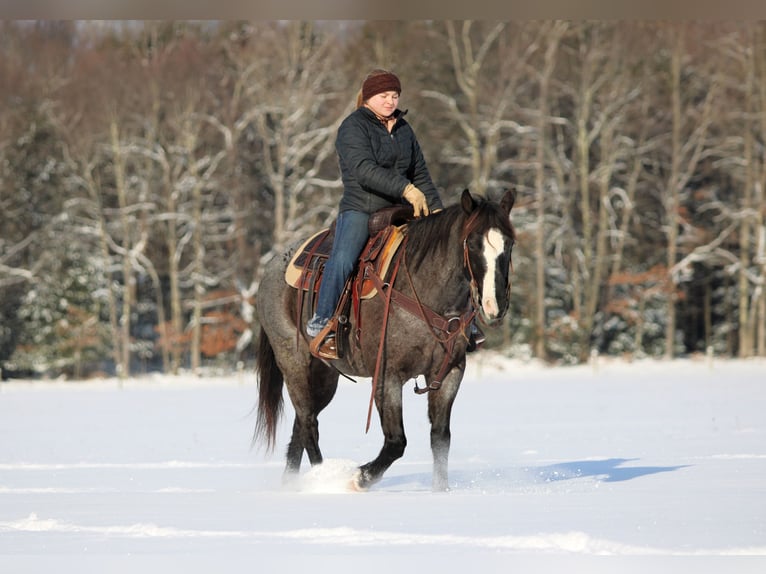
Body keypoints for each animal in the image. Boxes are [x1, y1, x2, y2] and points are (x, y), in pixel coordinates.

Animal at [253, 188, 517, 491]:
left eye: (509, 243)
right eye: (472, 244)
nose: (494, 305)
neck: (424, 292)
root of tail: (272, 267)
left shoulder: (450, 372)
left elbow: (440, 438)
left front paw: (440, 490)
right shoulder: (386, 375)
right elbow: (395, 442)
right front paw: (358, 478)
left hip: (324, 376)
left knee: (302, 425)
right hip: (294, 363)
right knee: (309, 426)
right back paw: (324, 477)